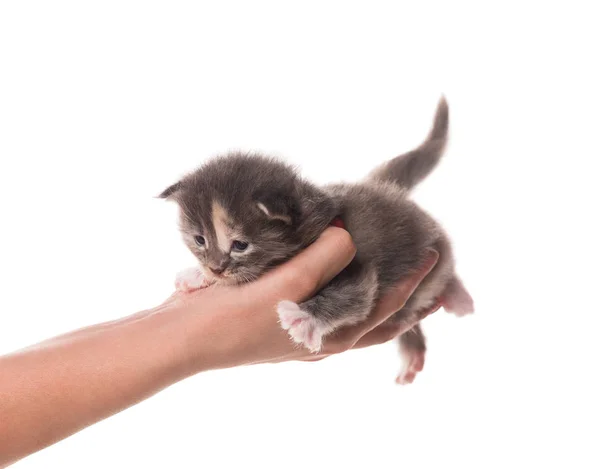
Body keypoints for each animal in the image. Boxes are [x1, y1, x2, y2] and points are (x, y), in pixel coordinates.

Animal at [158, 96, 474, 384]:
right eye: (200, 240)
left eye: (240, 245)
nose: (215, 268)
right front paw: (197, 275)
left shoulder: (358, 266)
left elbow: (353, 294)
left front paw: (305, 318)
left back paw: (457, 295)